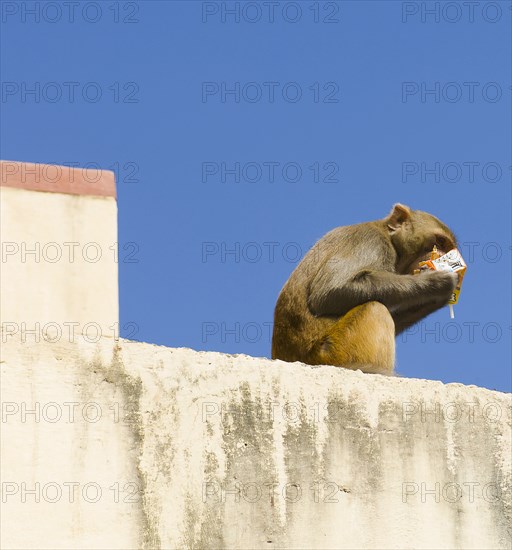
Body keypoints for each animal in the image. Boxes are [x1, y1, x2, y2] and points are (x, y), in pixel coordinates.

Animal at [272, 205, 460, 378]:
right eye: (440, 242)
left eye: (447, 246)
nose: (442, 256)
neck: (388, 236)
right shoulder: (371, 242)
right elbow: (329, 292)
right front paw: (435, 282)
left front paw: (437, 298)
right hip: (331, 353)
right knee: (375, 309)